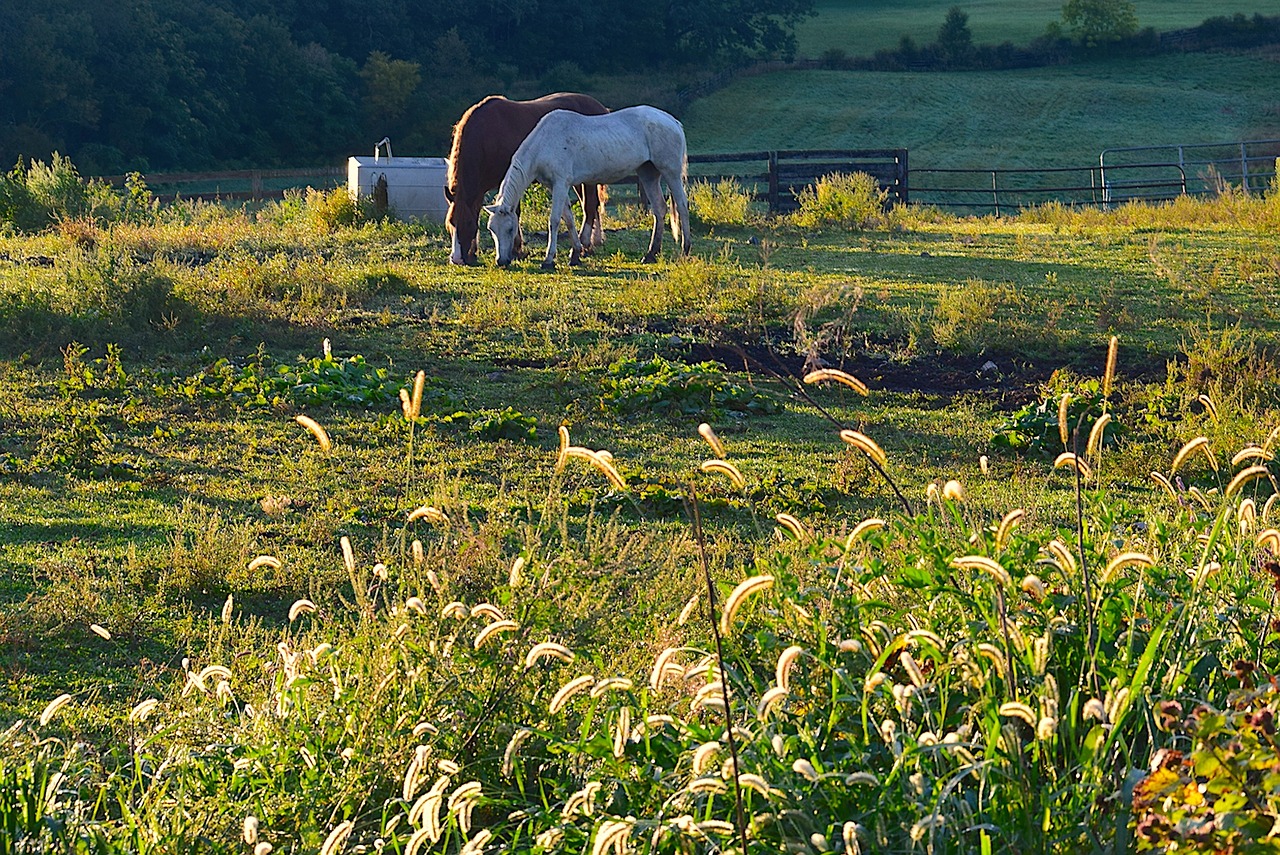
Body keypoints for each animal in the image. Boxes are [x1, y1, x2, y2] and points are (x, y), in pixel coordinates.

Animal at [445, 92, 609, 263]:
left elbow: (515, 213)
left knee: (590, 205)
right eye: (451, 224)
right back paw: (594, 240)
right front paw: (473, 252)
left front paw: (516, 249)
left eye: (467, 223)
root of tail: (599, 107)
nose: (456, 258)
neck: (487, 136)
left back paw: (587, 244)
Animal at [486, 105, 691, 268]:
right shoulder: (555, 186)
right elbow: (568, 219)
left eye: (510, 229)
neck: (545, 141)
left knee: (682, 206)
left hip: (670, 172)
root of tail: (672, 120)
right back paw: (651, 254)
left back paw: (685, 249)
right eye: (492, 229)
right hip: (648, 174)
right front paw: (575, 254)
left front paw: (549, 260)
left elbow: (554, 220)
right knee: (659, 209)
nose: (501, 261)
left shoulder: (560, 184)